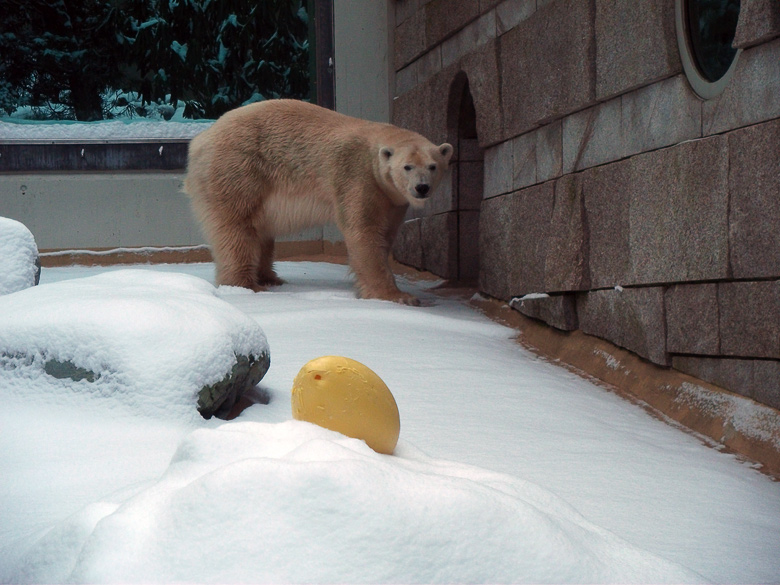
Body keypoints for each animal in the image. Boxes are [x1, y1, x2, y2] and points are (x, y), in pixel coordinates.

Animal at [184, 99, 450, 306]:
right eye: (407, 167)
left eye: (432, 166)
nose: (421, 188)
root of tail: (199, 141)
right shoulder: (357, 175)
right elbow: (364, 231)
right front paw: (398, 296)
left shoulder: (392, 198)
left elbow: (385, 234)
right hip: (238, 170)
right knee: (237, 228)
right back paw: (246, 286)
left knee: (261, 232)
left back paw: (271, 277)